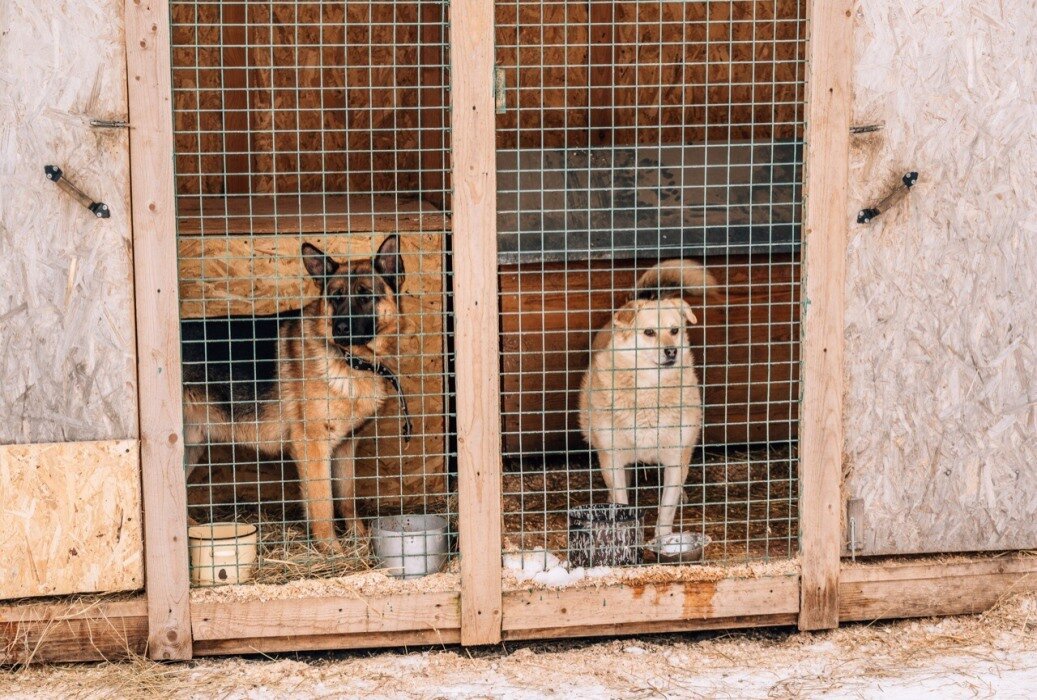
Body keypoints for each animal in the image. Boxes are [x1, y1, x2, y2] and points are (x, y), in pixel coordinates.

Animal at [180, 235, 406, 551]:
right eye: (335, 297)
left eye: (365, 296)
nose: (340, 328)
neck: (351, 361)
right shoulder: (312, 447)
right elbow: (323, 503)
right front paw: (332, 551)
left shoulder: (346, 446)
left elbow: (346, 498)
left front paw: (358, 538)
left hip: (192, 445)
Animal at [580, 261, 717, 543]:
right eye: (649, 332)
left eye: (674, 330)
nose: (671, 351)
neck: (650, 390)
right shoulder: (612, 457)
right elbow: (621, 498)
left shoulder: (675, 457)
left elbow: (667, 508)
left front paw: (664, 538)